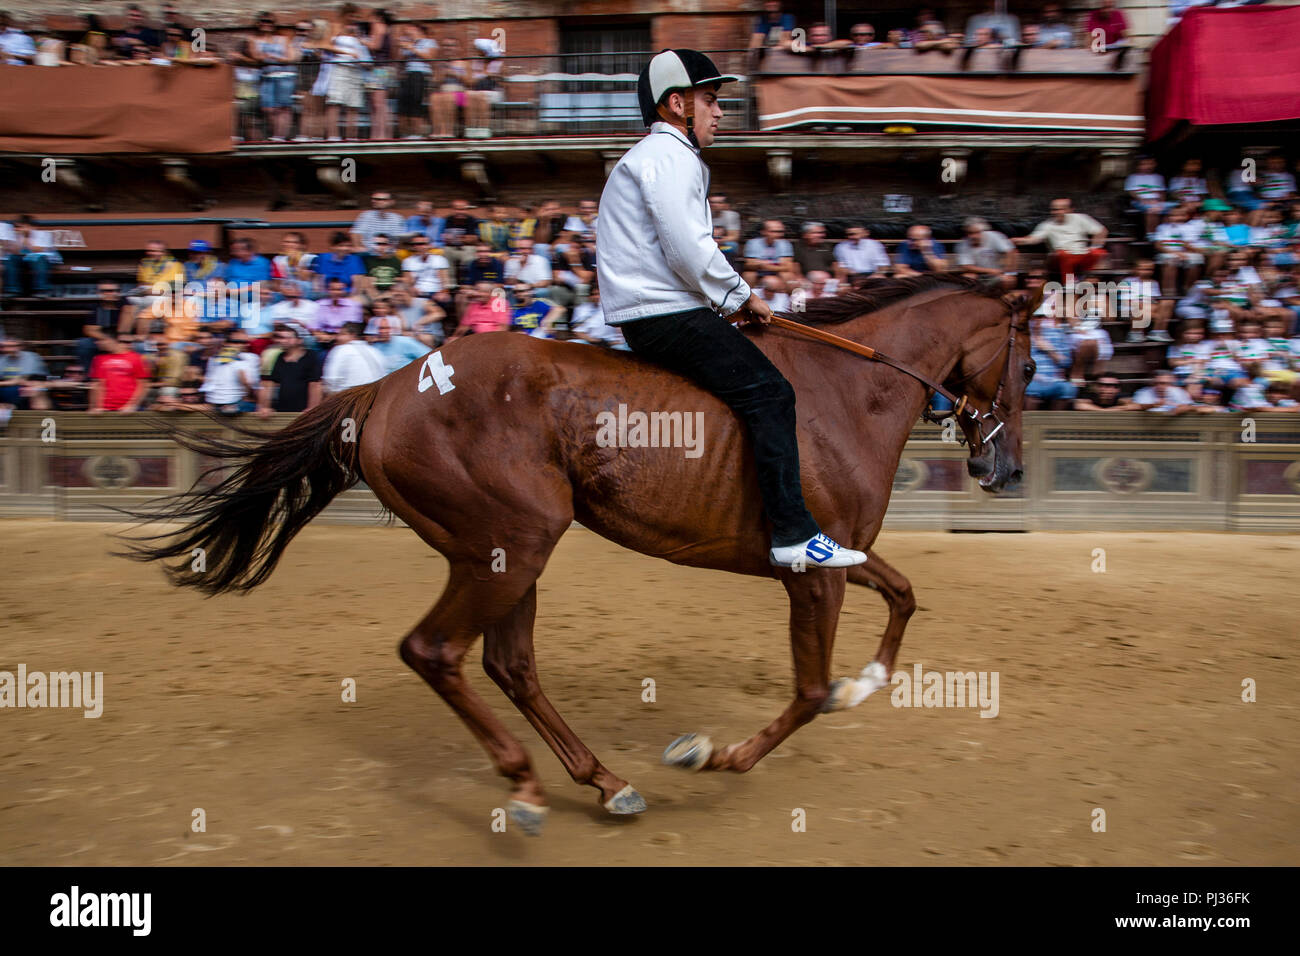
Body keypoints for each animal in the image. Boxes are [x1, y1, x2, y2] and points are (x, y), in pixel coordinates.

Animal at [122, 272, 1037, 834]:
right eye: (1028, 365)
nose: (1006, 470)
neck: (845, 395)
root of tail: (389, 385)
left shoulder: (839, 550)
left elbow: (903, 596)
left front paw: (867, 682)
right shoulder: (810, 572)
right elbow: (810, 692)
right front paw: (716, 753)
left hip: (500, 553)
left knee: (507, 663)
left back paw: (602, 781)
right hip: (514, 539)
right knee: (435, 650)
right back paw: (527, 784)